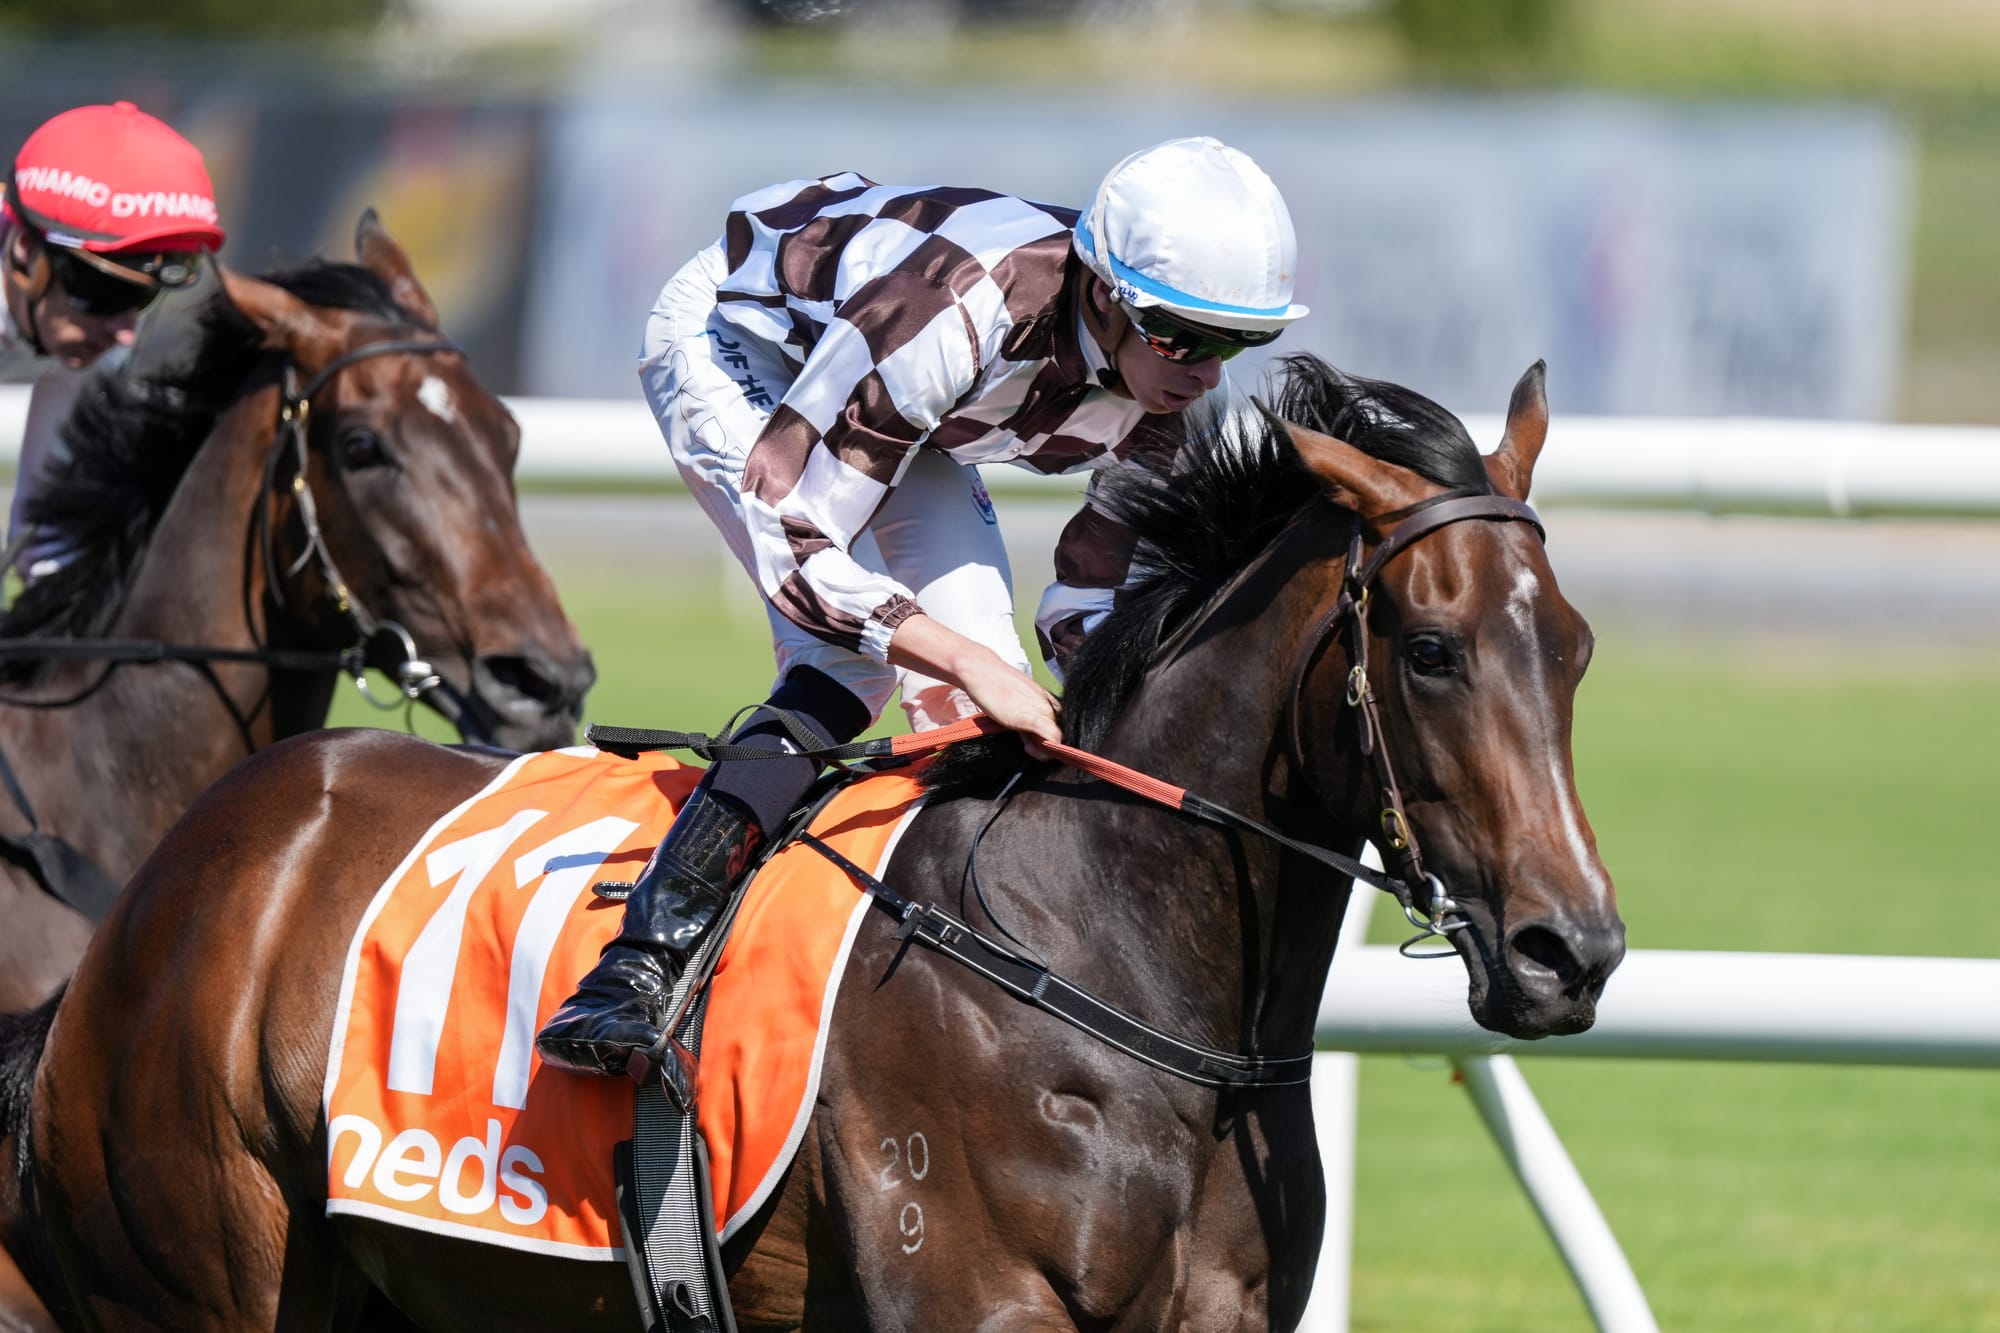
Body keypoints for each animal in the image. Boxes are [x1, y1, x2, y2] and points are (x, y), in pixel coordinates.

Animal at [0, 355, 1622, 1331]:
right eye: (1429, 649)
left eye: (1578, 649)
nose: (1572, 951)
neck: (1111, 963)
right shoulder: (980, 1300)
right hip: (204, 1276)